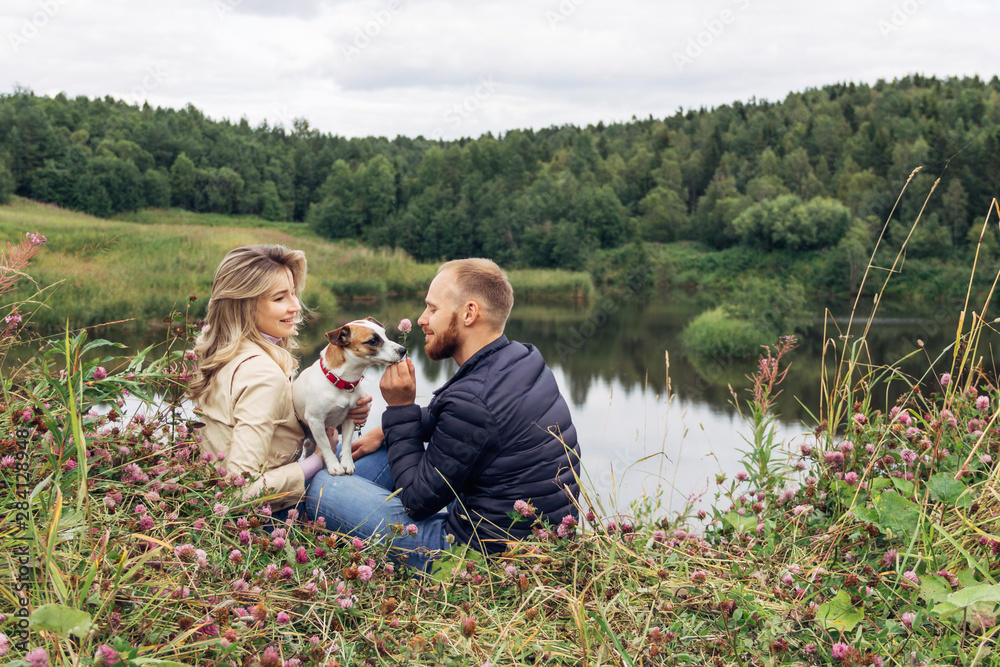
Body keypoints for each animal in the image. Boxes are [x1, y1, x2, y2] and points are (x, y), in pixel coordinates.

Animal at [292, 318, 406, 474]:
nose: (403, 350)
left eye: (385, 334)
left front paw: (346, 462)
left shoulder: (351, 416)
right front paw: (334, 465)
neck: (342, 382)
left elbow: (346, 443)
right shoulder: (316, 421)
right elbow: (326, 446)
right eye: (372, 341)